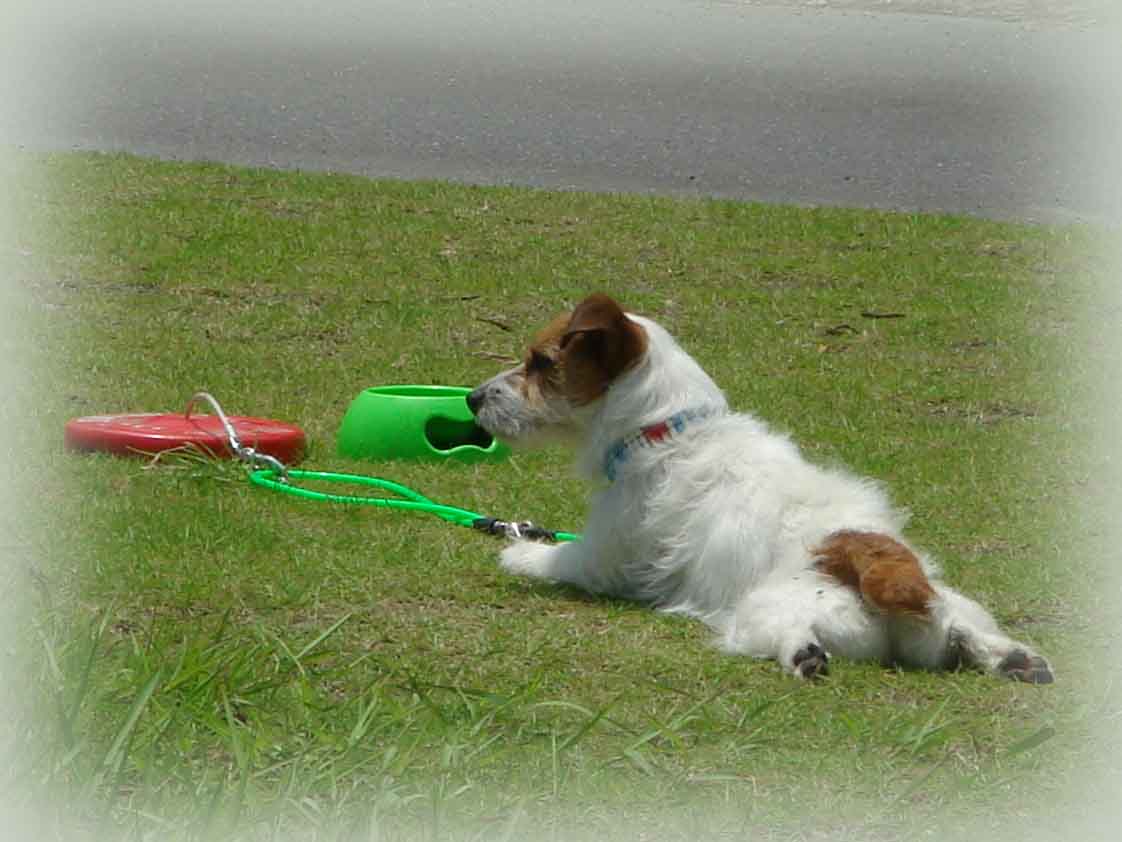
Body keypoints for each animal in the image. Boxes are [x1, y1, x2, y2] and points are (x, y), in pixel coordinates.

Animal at [464, 296, 1050, 687]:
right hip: (948, 605)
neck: (668, 431)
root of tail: (862, 555)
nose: (472, 398)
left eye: (541, 363)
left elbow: (551, 557)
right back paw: (1012, 658)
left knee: (788, 632)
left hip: (763, 610)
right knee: (963, 630)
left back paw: (803, 655)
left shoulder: (599, 559)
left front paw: (520, 550)